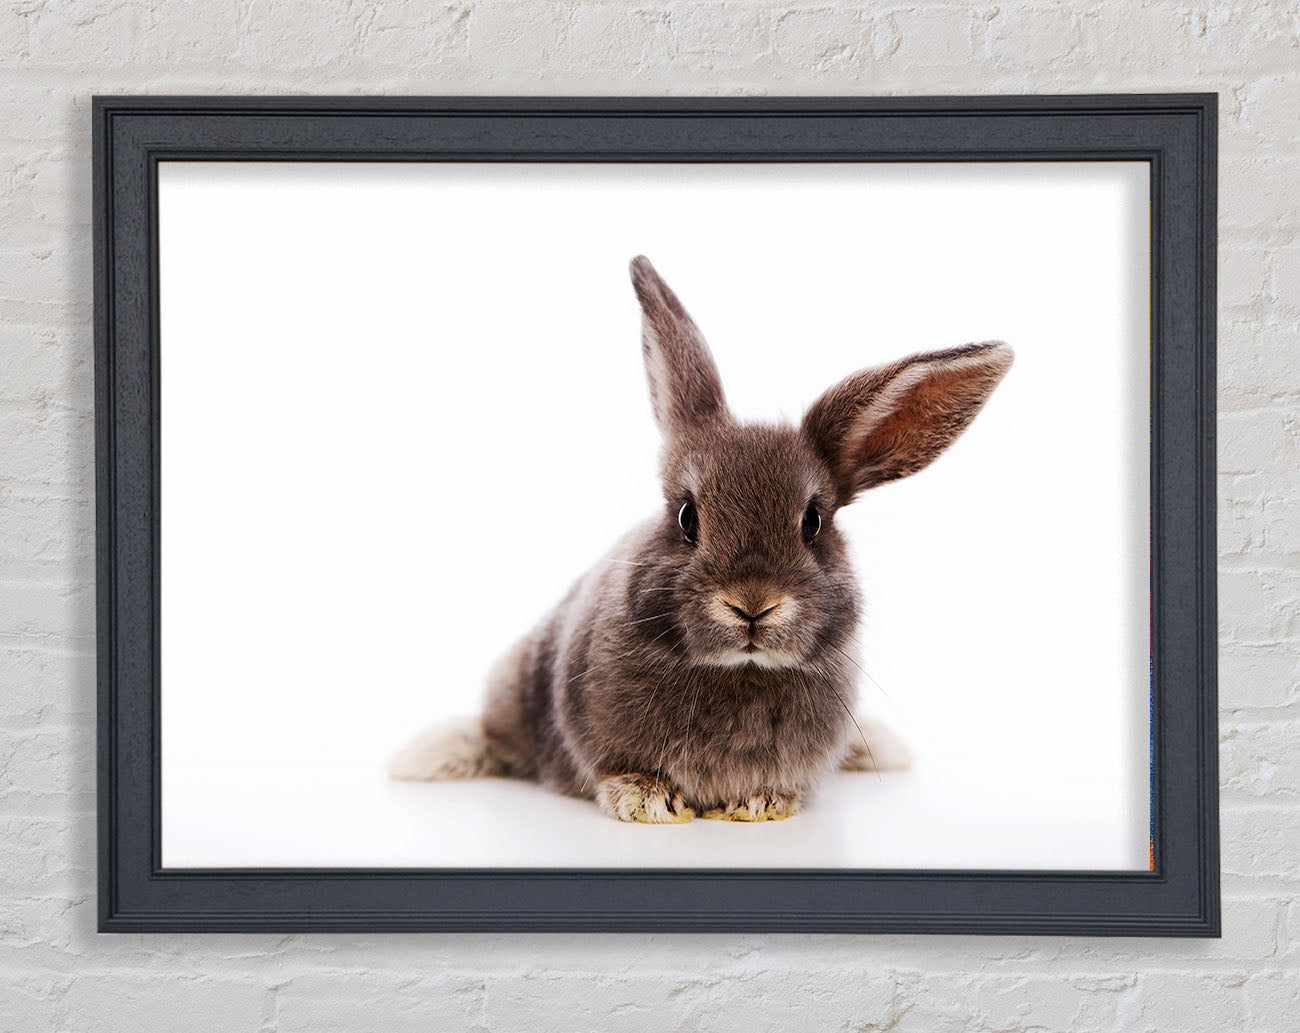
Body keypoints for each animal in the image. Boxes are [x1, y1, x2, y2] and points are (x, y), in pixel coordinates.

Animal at [390, 256, 1013, 823]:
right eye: (688, 517)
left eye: (813, 522)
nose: (753, 604)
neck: (740, 670)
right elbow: (615, 772)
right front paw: (646, 801)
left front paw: (762, 804)